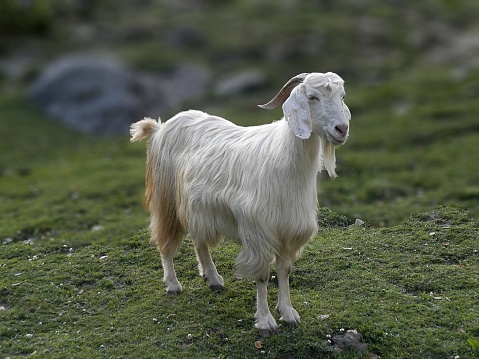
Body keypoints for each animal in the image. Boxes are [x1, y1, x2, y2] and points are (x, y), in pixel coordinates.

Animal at [129, 71, 350, 336]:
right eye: (312, 97)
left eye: (342, 96)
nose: (342, 129)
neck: (284, 160)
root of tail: (160, 127)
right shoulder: (258, 232)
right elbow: (263, 277)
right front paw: (265, 321)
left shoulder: (289, 229)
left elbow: (284, 272)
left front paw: (288, 313)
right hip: (168, 201)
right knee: (165, 242)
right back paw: (173, 284)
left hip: (197, 207)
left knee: (199, 241)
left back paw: (213, 278)